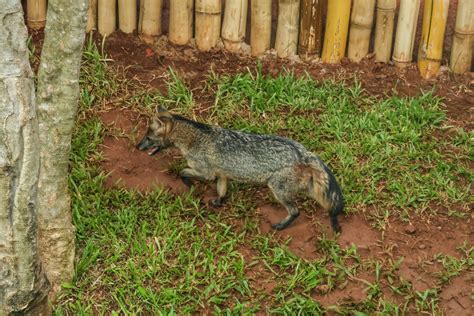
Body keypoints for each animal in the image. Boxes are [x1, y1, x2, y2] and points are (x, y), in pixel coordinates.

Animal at [137, 106, 344, 232]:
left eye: (148, 138)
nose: (137, 146)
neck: (195, 138)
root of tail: (302, 152)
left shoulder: (207, 172)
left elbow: (183, 171)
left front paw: (189, 183)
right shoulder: (222, 174)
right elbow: (222, 190)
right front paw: (218, 202)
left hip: (277, 188)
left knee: (295, 211)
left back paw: (280, 226)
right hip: (304, 188)